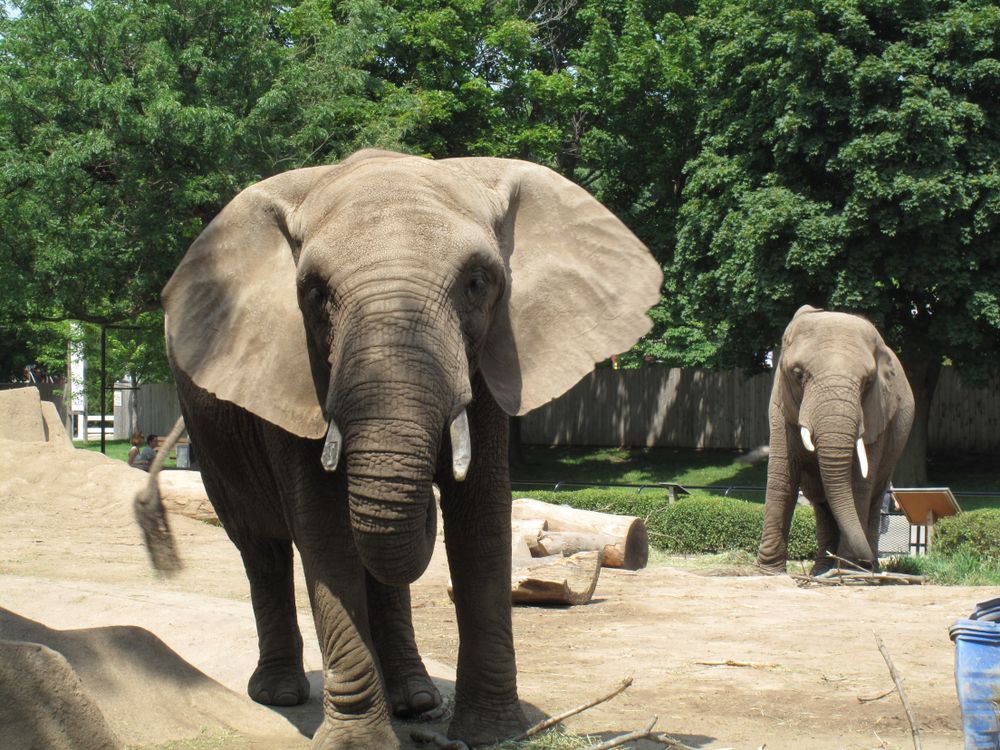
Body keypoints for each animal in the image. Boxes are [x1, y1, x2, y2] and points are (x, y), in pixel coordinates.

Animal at [155, 149, 662, 748]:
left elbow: (481, 523)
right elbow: (324, 532)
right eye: (314, 293)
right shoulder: (294, 371)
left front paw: (492, 734)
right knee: (261, 549)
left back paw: (417, 701)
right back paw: (279, 694)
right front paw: (356, 744)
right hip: (210, 440)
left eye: (476, 282)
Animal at [757, 305, 914, 575]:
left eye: (868, 382)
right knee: (823, 506)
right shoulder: (779, 405)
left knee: (872, 499)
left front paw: (851, 569)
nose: (869, 564)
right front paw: (767, 572)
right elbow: (782, 477)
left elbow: (859, 483)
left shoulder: (877, 413)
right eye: (798, 375)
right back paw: (823, 570)